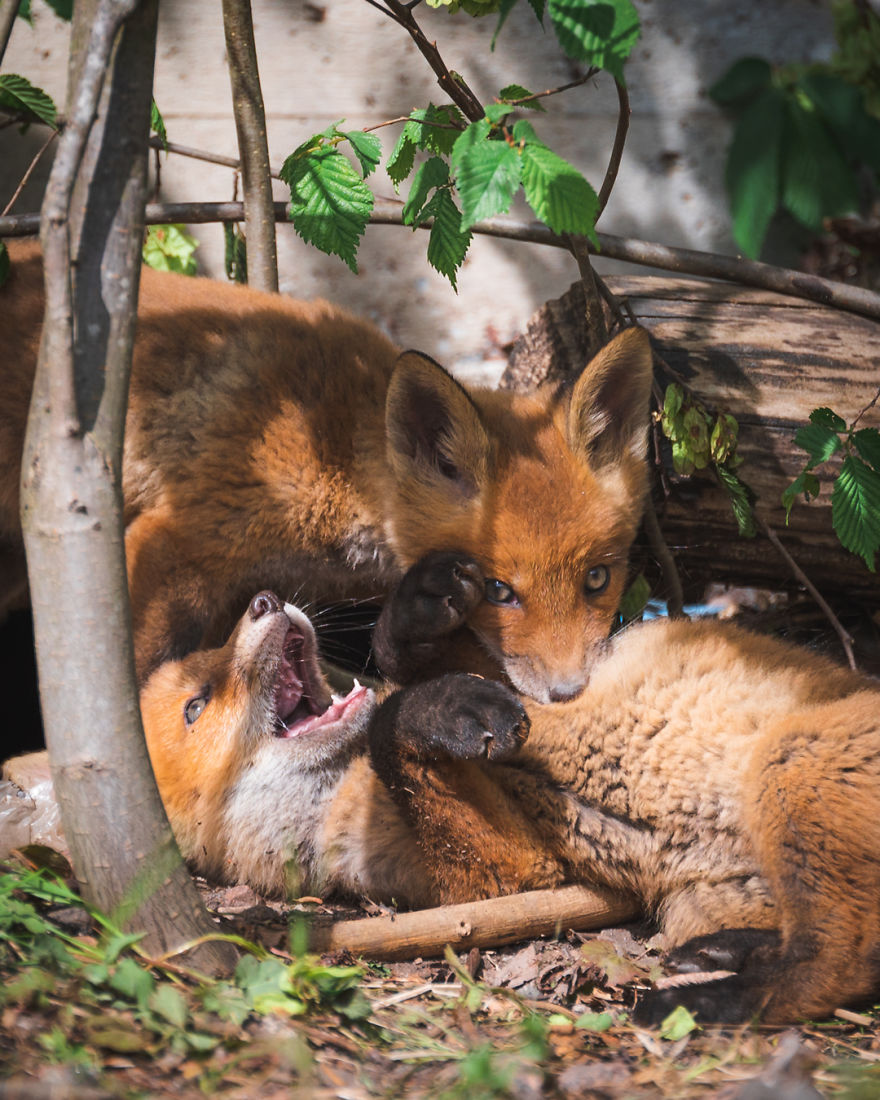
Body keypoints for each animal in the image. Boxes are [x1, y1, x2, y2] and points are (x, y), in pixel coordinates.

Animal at [0, 238, 653, 700]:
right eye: (500, 591)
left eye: (598, 579)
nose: (569, 694)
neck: (334, 461)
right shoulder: (171, 543)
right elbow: (137, 682)